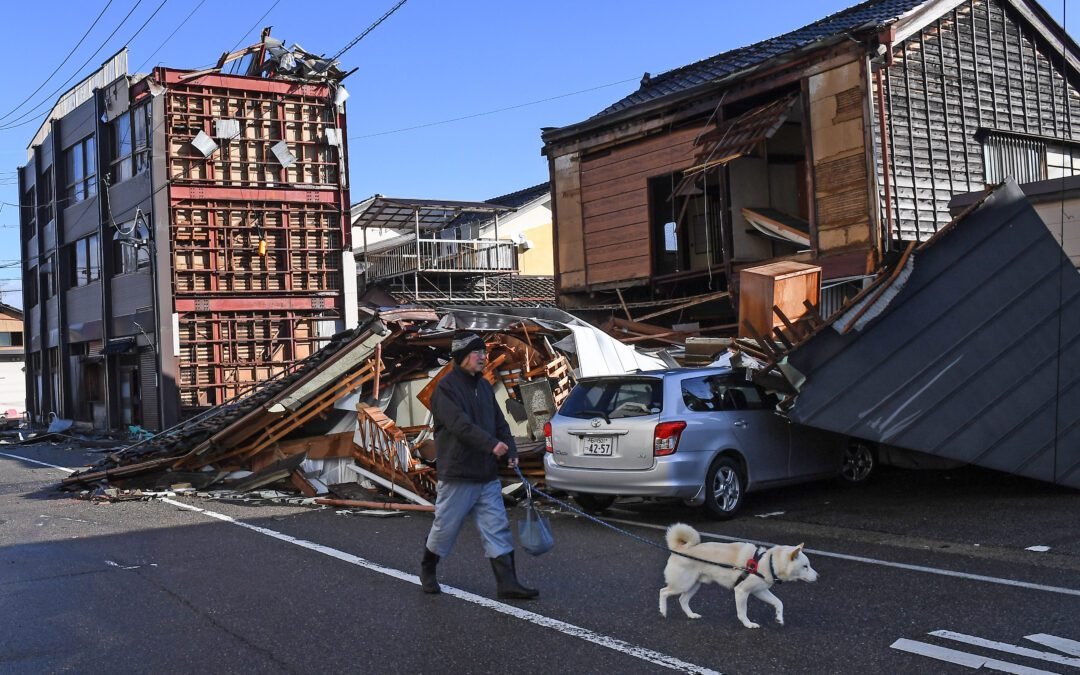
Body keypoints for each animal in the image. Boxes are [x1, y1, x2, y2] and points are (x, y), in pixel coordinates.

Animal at [656, 520, 816, 626]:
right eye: (805, 566)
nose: (817, 576)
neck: (769, 562)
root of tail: (679, 549)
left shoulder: (760, 591)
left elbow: (779, 602)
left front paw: (779, 618)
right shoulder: (741, 591)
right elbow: (742, 612)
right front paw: (748, 624)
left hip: (694, 585)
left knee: (682, 600)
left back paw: (691, 615)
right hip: (682, 584)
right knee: (663, 591)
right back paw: (663, 611)